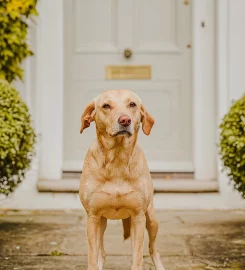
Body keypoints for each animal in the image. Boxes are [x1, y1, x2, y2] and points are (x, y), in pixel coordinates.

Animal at [79, 90, 166, 270]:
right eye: (106, 106)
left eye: (132, 104)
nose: (125, 120)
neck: (117, 159)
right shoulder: (93, 217)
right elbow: (93, 257)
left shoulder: (138, 217)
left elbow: (138, 259)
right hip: (102, 223)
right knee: (101, 252)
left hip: (151, 220)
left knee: (153, 249)